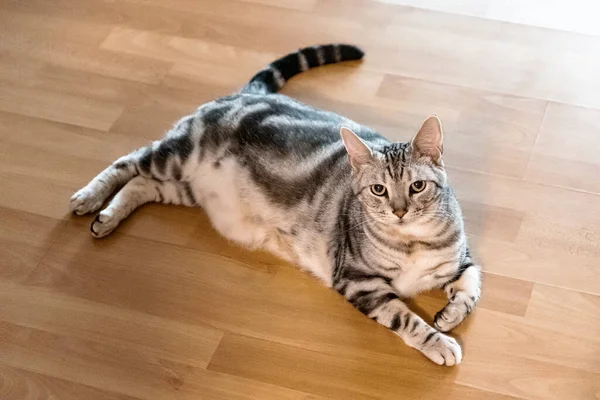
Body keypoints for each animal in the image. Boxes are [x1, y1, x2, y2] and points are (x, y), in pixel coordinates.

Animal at [70, 43, 482, 366]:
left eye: (417, 186)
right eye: (379, 190)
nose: (399, 211)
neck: (413, 243)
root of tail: (249, 93)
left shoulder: (462, 259)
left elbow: (471, 289)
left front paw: (449, 316)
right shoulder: (359, 281)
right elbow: (405, 318)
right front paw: (439, 342)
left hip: (185, 188)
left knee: (141, 184)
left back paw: (107, 217)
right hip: (176, 155)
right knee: (127, 163)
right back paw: (89, 199)